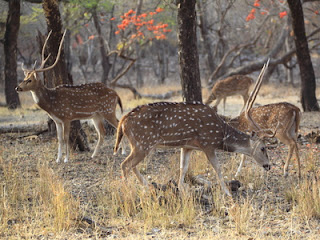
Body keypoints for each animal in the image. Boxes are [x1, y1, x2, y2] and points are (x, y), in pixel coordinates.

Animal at [15, 29, 124, 162]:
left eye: (29, 80)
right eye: (24, 78)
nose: (17, 87)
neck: (51, 104)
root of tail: (116, 94)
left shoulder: (66, 116)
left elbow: (66, 138)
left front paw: (66, 159)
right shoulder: (57, 120)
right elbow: (59, 139)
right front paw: (58, 159)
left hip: (108, 110)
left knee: (118, 125)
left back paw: (122, 152)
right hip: (96, 115)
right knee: (102, 133)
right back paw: (94, 155)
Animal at [114, 62, 274, 196]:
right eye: (263, 148)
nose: (268, 166)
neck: (221, 135)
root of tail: (122, 121)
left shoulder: (187, 146)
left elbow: (183, 168)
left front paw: (180, 189)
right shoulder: (208, 144)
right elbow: (217, 168)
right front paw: (227, 193)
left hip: (138, 145)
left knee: (131, 165)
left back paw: (147, 185)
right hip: (142, 143)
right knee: (125, 164)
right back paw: (128, 190)